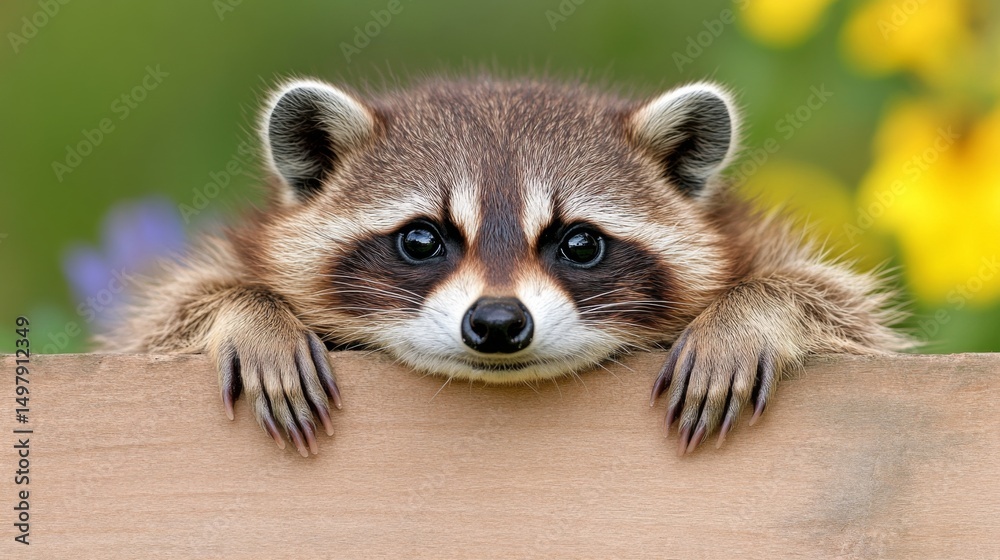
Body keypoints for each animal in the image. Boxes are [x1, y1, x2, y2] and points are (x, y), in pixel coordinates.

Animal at [98, 76, 909, 457]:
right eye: (422, 240)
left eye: (577, 244)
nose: (496, 323)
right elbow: (166, 318)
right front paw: (250, 313)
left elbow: (849, 317)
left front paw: (754, 310)